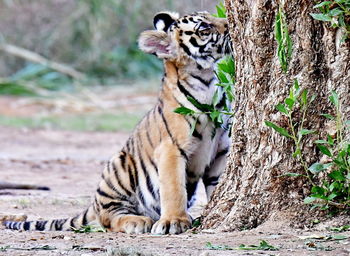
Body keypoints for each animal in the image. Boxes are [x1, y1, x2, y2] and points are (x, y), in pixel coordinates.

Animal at [4, 10, 232, 234]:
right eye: (204, 28)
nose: (229, 24)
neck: (207, 85)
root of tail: (93, 204)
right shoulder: (171, 149)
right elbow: (174, 188)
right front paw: (173, 221)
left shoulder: (221, 150)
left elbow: (217, 183)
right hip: (119, 166)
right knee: (109, 218)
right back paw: (138, 222)